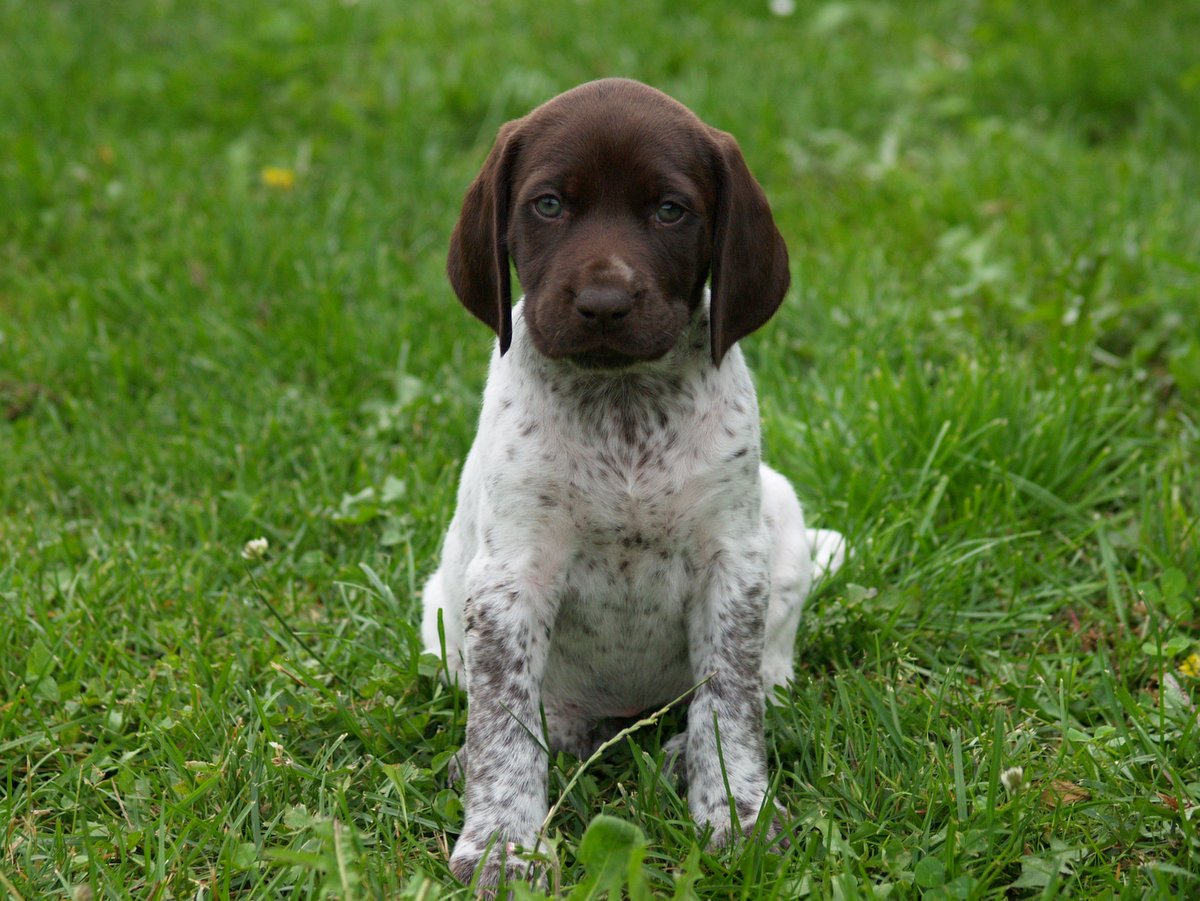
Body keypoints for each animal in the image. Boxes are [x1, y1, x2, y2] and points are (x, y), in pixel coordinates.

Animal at [421, 78, 844, 887]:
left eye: (670, 210)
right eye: (549, 204)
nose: (604, 306)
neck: (622, 408)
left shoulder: (730, 566)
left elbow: (730, 707)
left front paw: (737, 816)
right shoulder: (510, 577)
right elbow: (503, 724)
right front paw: (502, 845)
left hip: (778, 517)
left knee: (761, 675)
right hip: (440, 613)